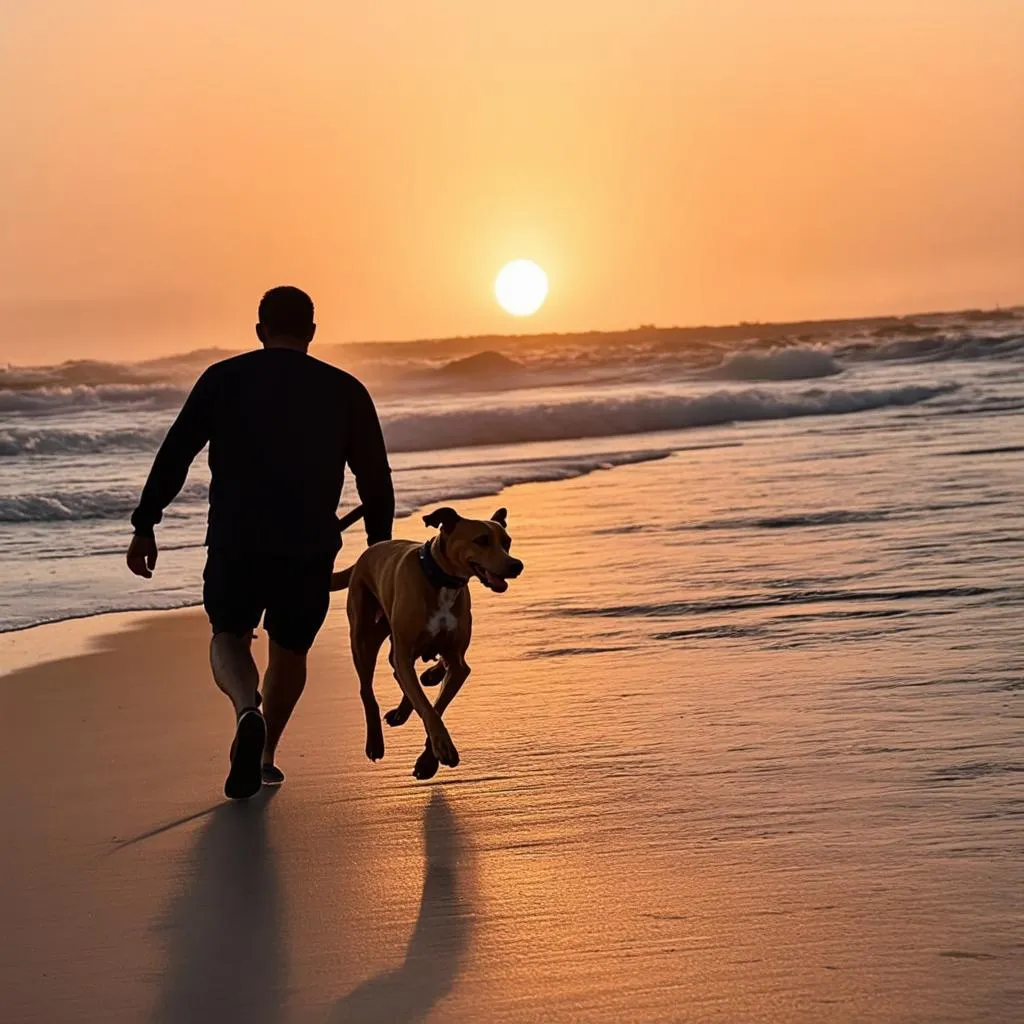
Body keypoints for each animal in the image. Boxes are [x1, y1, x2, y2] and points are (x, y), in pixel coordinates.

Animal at [331, 503, 524, 774]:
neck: (443, 581)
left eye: (507, 542)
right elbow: (426, 707)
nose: (516, 565)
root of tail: (368, 552)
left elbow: (437, 704)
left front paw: (428, 759)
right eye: (482, 540)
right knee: (368, 687)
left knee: (401, 673)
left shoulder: (458, 663)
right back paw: (375, 741)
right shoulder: (405, 652)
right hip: (364, 633)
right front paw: (441, 748)